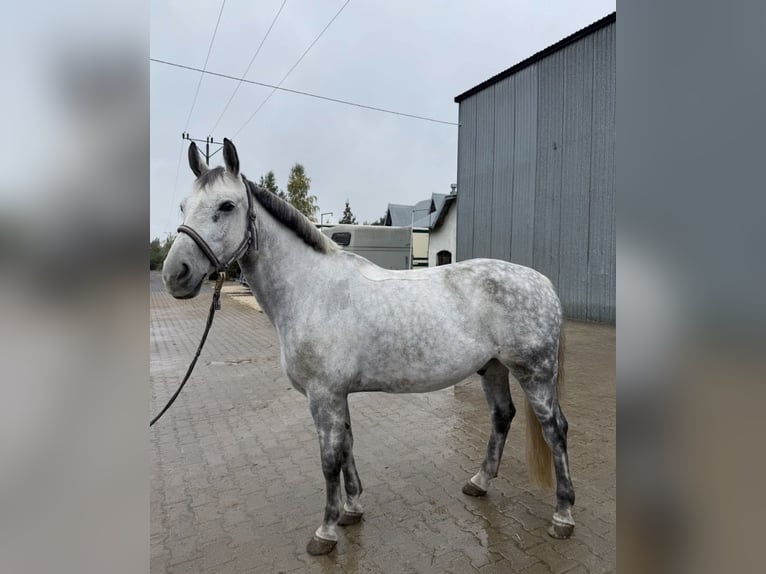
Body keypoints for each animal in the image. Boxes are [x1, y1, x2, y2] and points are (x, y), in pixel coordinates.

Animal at [162, 138, 575, 555]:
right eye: (183, 206)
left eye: (226, 206)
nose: (175, 274)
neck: (312, 290)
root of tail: (543, 282)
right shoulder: (337, 395)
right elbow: (346, 445)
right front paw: (352, 509)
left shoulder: (323, 395)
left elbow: (329, 459)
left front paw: (325, 531)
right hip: (492, 368)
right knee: (502, 416)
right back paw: (479, 482)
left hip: (535, 373)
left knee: (555, 429)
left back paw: (563, 516)